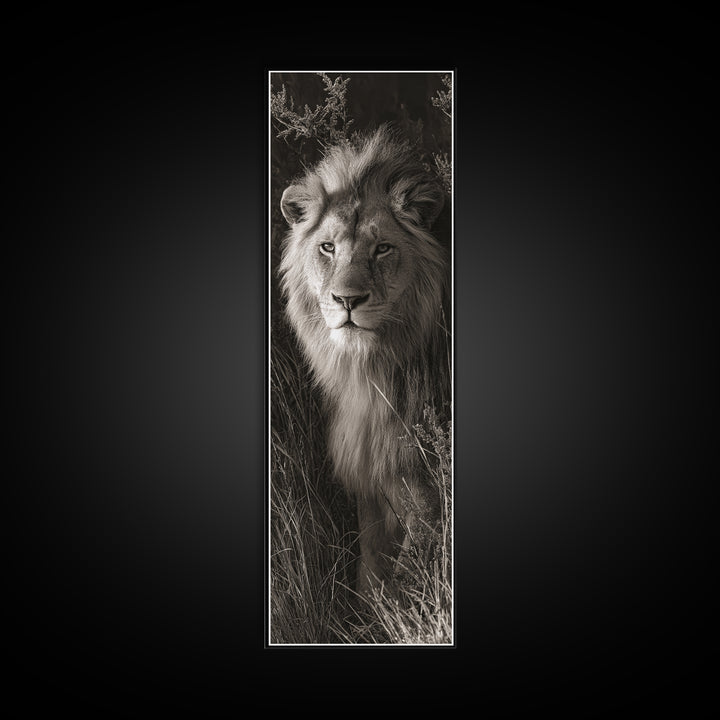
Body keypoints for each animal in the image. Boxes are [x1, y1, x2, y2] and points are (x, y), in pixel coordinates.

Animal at [278, 125, 450, 593]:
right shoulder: (371, 483)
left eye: (383, 249)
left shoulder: (427, 496)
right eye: (327, 247)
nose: (347, 300)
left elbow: (409, 578)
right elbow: (369, 569)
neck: (372, 374)